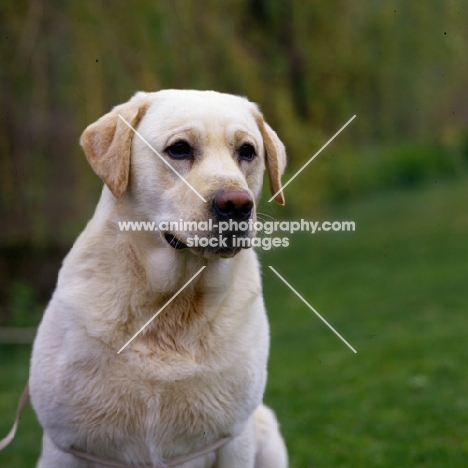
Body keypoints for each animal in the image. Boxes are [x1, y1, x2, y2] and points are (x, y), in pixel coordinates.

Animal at [29, 89, 288, 466]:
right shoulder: (67, 446)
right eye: (179, 148)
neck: (172, 305)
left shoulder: (232, 438)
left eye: (247, 152)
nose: (237, 205)